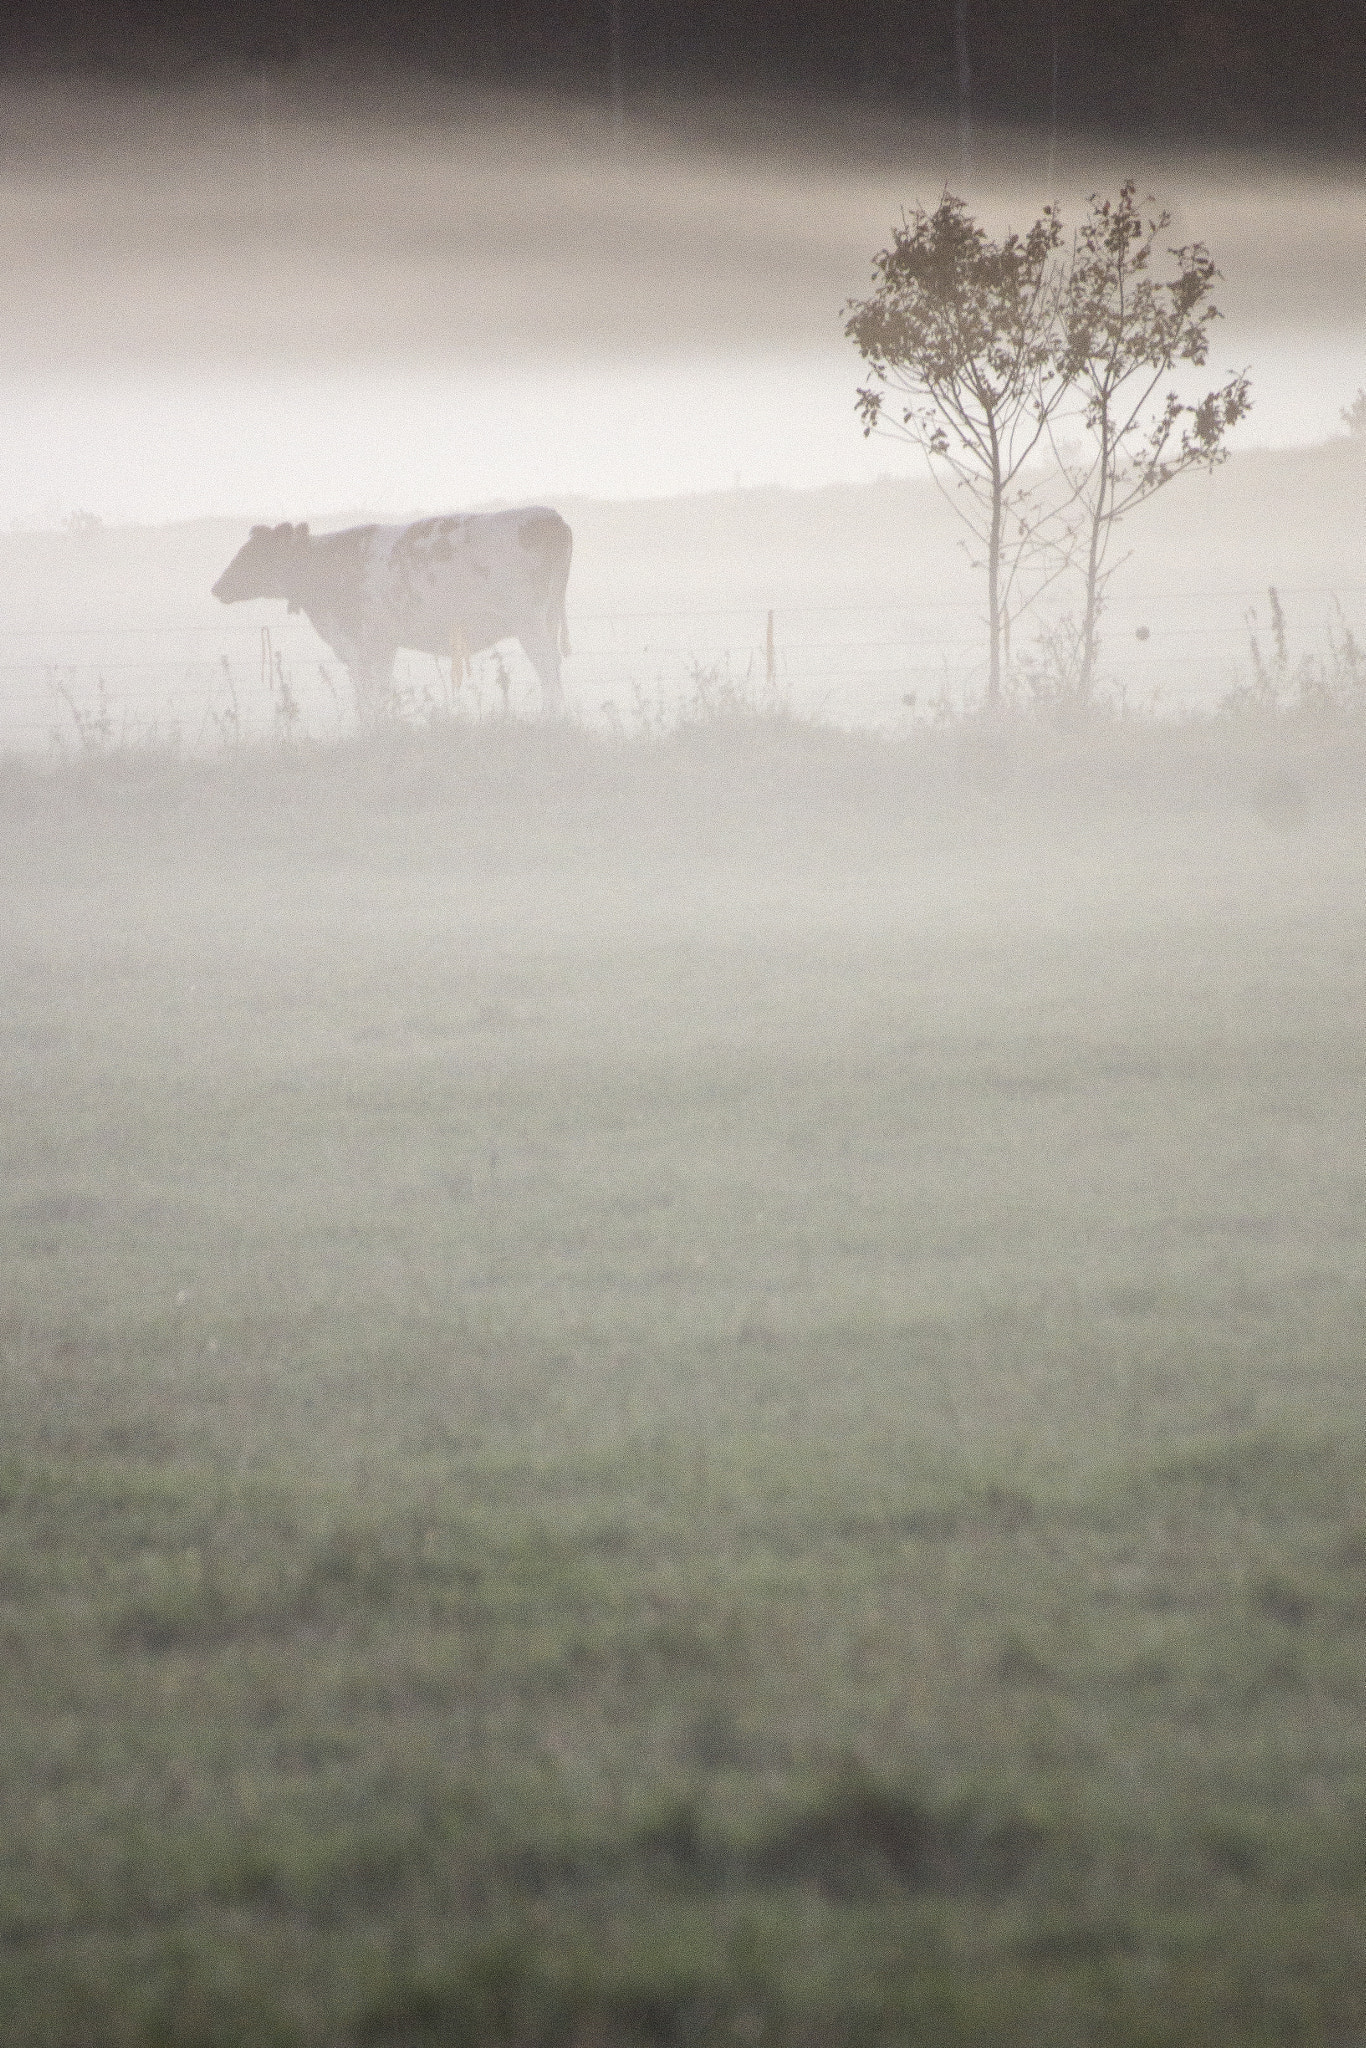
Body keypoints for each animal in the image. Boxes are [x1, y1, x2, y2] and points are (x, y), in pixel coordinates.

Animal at [210, 507, 573, 724]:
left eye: (254, 554)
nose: (217, 587)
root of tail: (548, 515)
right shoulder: (384, 645)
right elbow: (381, 690)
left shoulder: (360, 645)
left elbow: (366, 693)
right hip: (547, 619)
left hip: (528, 622)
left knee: (547, 666)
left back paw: (552, 720)